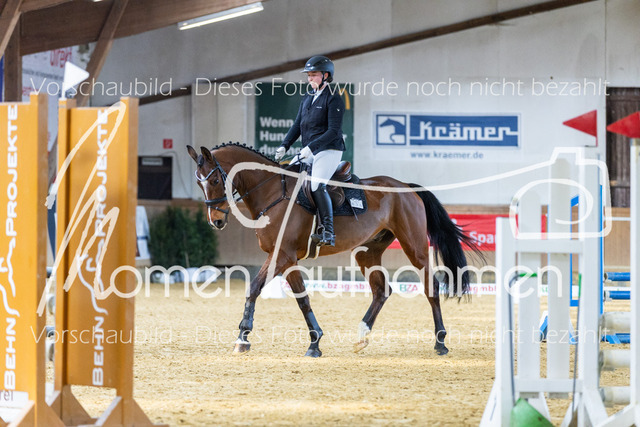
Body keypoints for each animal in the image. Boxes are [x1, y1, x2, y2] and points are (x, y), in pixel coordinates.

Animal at [187, 143, 477, 357]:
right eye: (199, 183)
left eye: (215, 179)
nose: (216, 221)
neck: (271, 192)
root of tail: (406, 187)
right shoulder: (287, 258)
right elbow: (302, 299)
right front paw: (315, 343)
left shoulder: (282, 255)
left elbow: (254, 288)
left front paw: (242, 337)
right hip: (367, 251)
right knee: (382, 290)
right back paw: (361, 337)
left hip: (414, 246)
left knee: (431, 287)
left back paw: (440, 342)